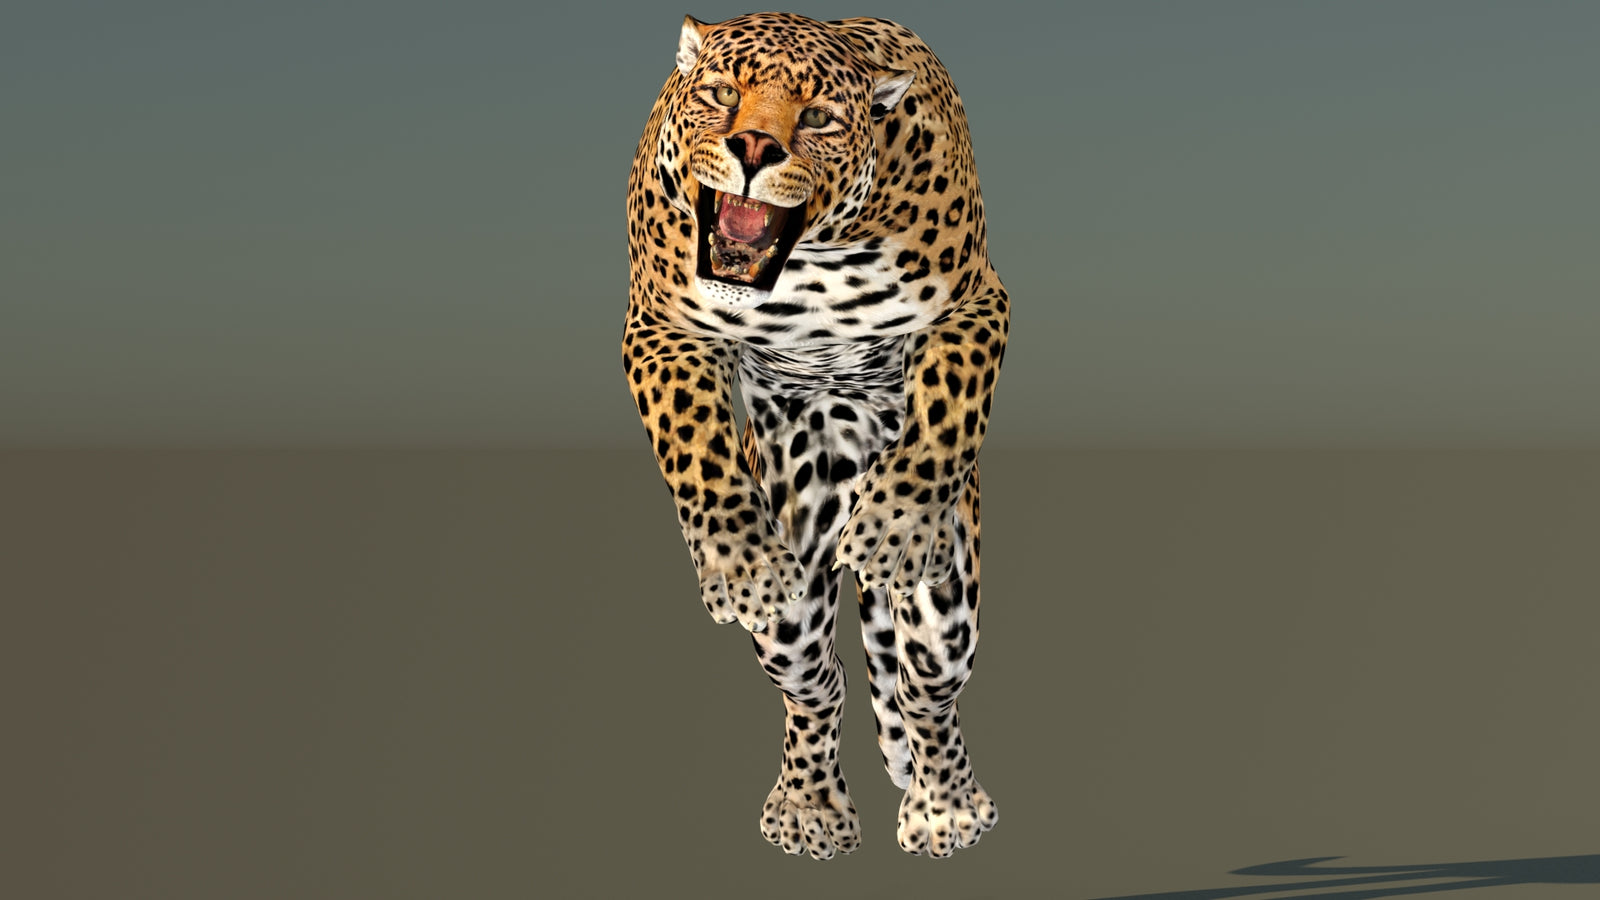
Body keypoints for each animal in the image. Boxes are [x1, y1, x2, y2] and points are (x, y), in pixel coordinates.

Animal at [622, 12, 1009, 859]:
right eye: (720, 95)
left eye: (819, 118)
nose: (754, 150)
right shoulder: (661, 327)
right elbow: (694, 443)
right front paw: (737, 560)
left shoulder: (976, 304)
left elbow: (947, 406)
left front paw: (897, 525)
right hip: (795, 604)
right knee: (817, 686)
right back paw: (808, 807)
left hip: (949, 600)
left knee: (926, 688)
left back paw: (945, 810)